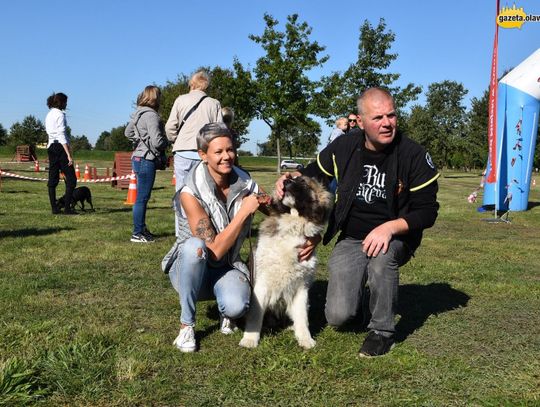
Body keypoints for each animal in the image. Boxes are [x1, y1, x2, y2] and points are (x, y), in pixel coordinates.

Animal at [240, 176, 334, 350]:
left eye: (303, 182)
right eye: (291, 178)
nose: (286, 181)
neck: (293, 225)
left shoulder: (301, 287)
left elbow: (302, 316)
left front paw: (305, 339)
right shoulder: (261, 284)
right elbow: (255, 314)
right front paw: (250, 339)